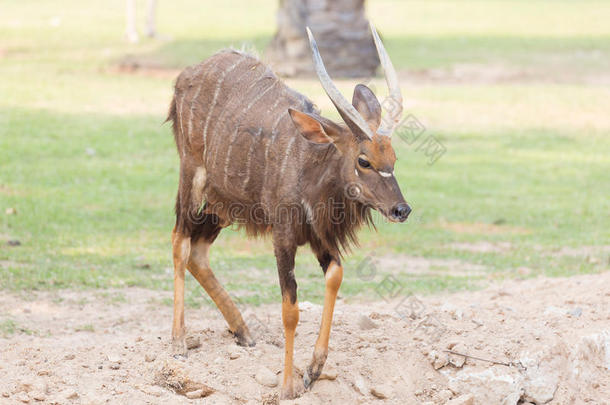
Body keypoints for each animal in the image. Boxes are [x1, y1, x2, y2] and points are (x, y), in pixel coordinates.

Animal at [166, 24, 408, 398]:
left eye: (393, 158)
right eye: (363, 160)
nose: (401, 209)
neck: (308, 166)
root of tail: (186, 76)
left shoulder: (320, 238)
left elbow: (335, 276)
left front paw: (313, 370)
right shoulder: (283, 238)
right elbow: (290, 309)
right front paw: (287, 385)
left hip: (223, 202)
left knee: (198, 251)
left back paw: (244, 332)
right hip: (192, 179)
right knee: (180, 242)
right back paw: (179, 342)